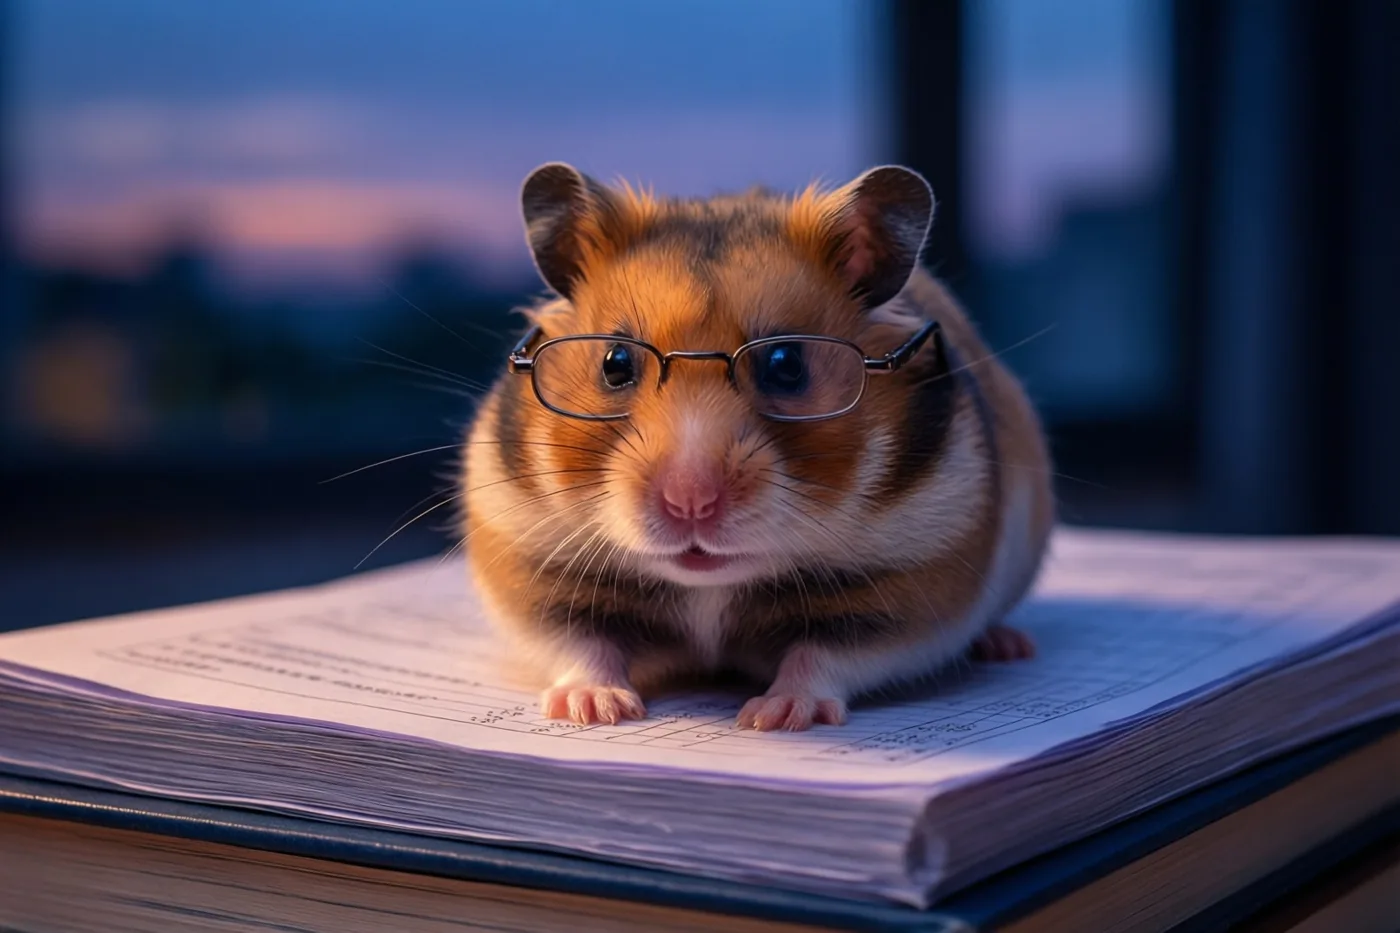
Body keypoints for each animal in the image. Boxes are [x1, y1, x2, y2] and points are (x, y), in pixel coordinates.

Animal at [459, 162, 1054, 732]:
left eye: (786, 364)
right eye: (615, 364)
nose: (690, 503)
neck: (710, 585)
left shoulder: (913, 584)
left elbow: (822, 656)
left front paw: (775, 717)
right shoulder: (530, 560)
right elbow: (580, 644)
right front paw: (592, 710)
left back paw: (1008, 646)